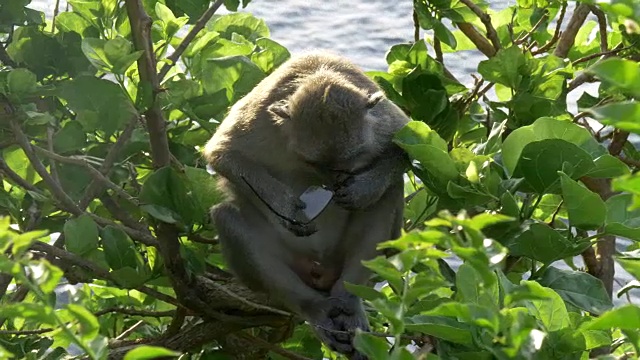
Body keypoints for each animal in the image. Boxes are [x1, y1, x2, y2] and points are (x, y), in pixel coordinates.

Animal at [205, 50, 410, 358]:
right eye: (315, 163)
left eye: (350, 158)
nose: (334, 181)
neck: (319, 73)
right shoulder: (260, 120)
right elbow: (222, 153)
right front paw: (286, 209)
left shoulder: (382, 121)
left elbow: (409, 146)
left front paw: (363, 189)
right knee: (227, 217)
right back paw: (315, 308)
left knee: (389, 193)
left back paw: (349, 299)